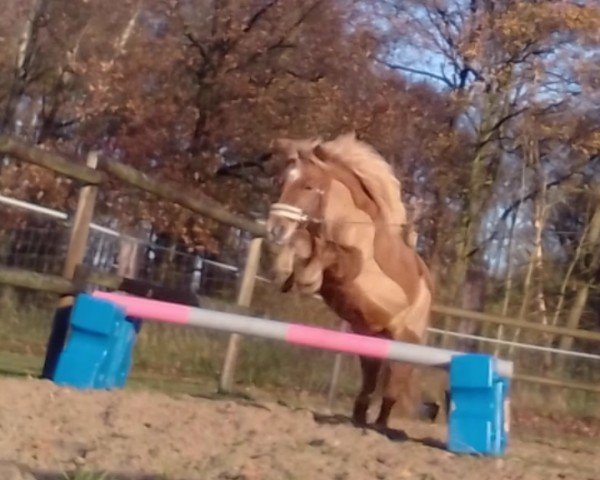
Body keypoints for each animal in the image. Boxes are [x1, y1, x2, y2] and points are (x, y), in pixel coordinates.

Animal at [266, 133, 432, 430]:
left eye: (309, 186)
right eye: (283, 181)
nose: (274, 230)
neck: (349, 220)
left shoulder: (352, 267)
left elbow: (324, 252)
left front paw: (307, 280)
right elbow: (304, 242)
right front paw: (285, 273)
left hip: (404, 343)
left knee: (392, 387)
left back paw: (380, 427)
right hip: (369, 341)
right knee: (370, 380)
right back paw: (357, 419)